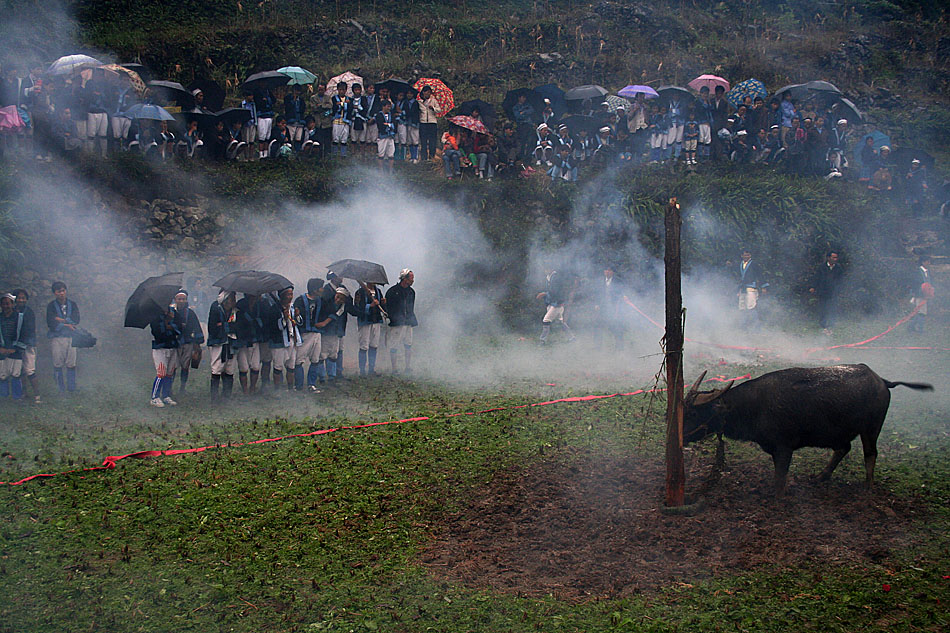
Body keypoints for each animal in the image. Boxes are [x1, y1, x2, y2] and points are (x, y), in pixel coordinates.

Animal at [684, 366, 936, 494]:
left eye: (694, 413)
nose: (682, 436)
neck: (754, 406)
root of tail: (883, 381)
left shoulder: (784, 448)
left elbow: (779, 478)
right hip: (840, 432)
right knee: (844, 448)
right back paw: (822, 476)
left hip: (871, 428)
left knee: (870, 454)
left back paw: (868, 486)